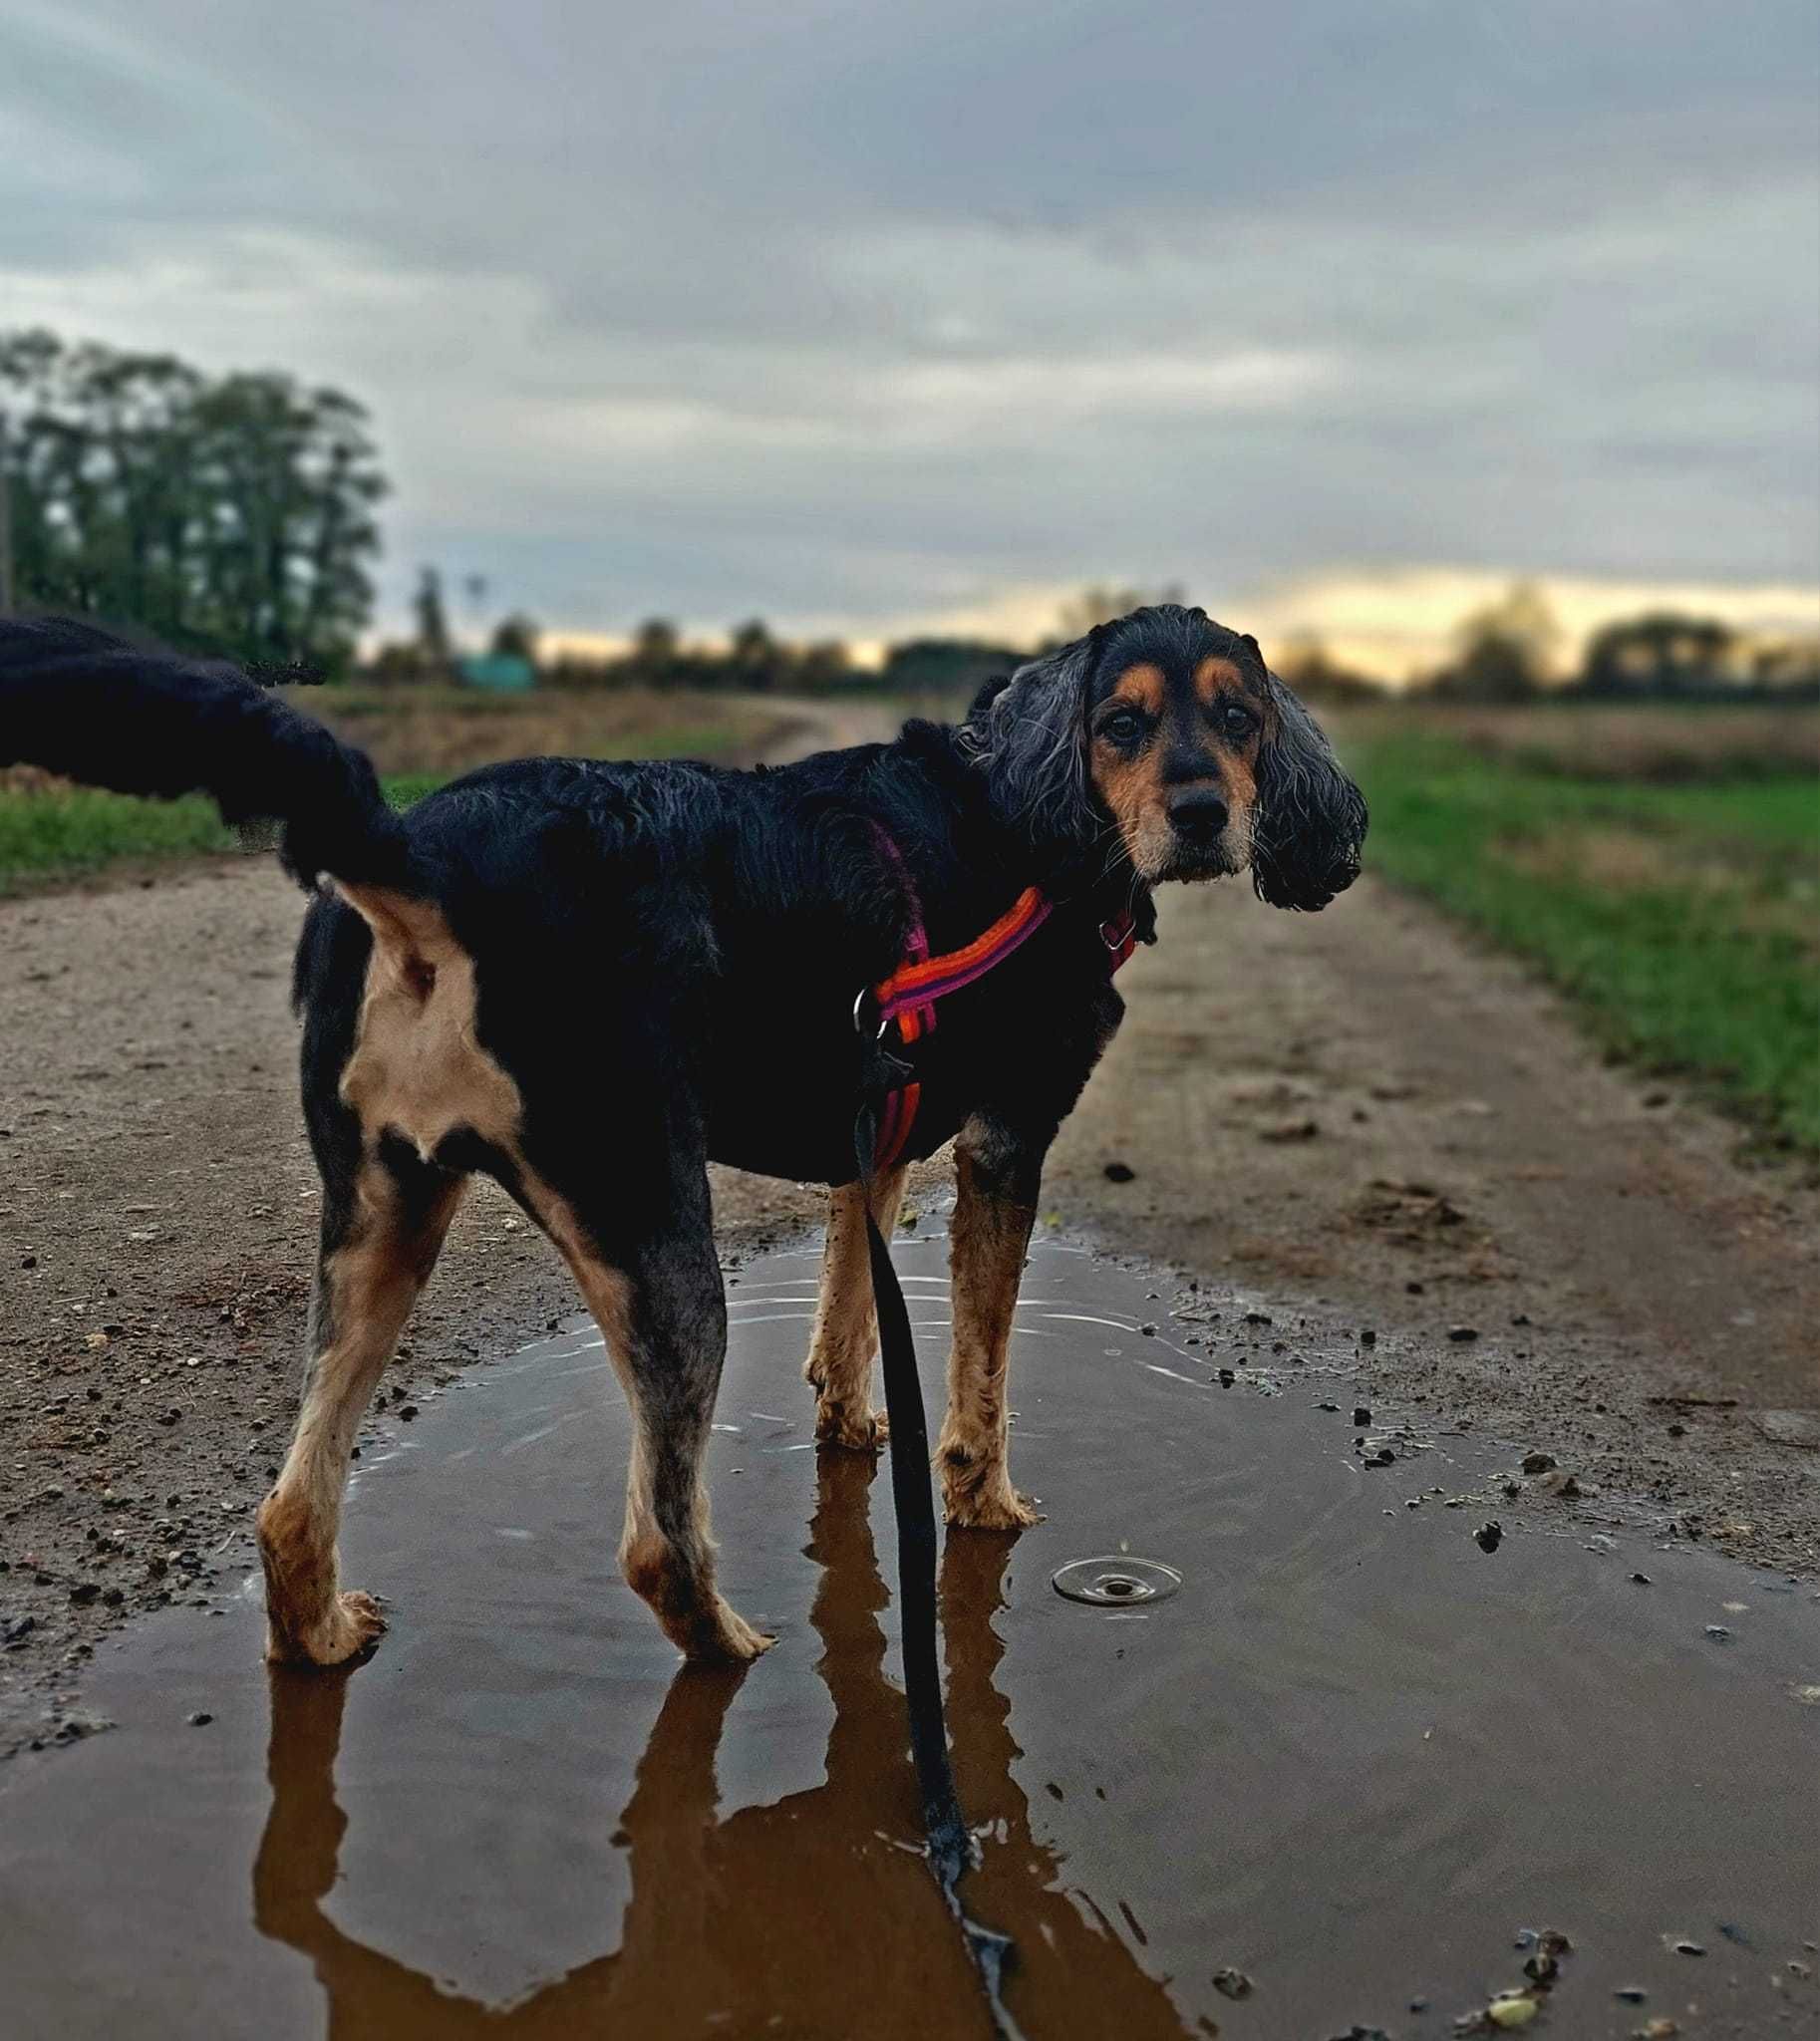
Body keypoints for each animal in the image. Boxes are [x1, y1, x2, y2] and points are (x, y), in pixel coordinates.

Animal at [0, 604, 1363, 1673]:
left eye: (1237, 716)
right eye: (1120, 724)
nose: (1204, 811)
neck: (1022, 811)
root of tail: (420, 850)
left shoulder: (871, 1136)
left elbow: (847, 1310)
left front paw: (851, 1426)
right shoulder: (1001, 1146)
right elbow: (978, 1375)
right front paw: (983, 1501)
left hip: (384, 1220)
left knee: (290, 1509)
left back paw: (323, 1632)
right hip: (658, 1240)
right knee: (656, 1539)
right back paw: (727, 1644)